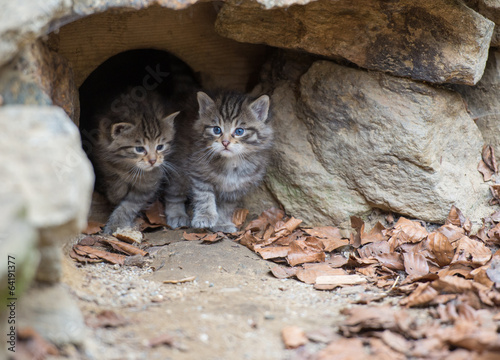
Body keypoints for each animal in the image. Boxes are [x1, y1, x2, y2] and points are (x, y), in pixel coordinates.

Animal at [92, 91, 180, 233]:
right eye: (139, 149)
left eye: (160, 147)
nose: (153, 161)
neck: (128, 165)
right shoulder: (101, 156)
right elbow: (112, 178)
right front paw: (116, 193)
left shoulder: (149, 183)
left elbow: (129, 205)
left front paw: (116, 223)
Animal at [164, 91, 274, 232]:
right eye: (217, 129)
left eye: (239, 131)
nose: (225, 142)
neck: (232, 162)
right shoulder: (199, 173)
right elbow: (204, 196)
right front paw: (204, 217)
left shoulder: (236, 187)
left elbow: (226, 207)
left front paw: (222, 223)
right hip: (179, 165)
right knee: (174, 193)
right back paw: (177, 214)